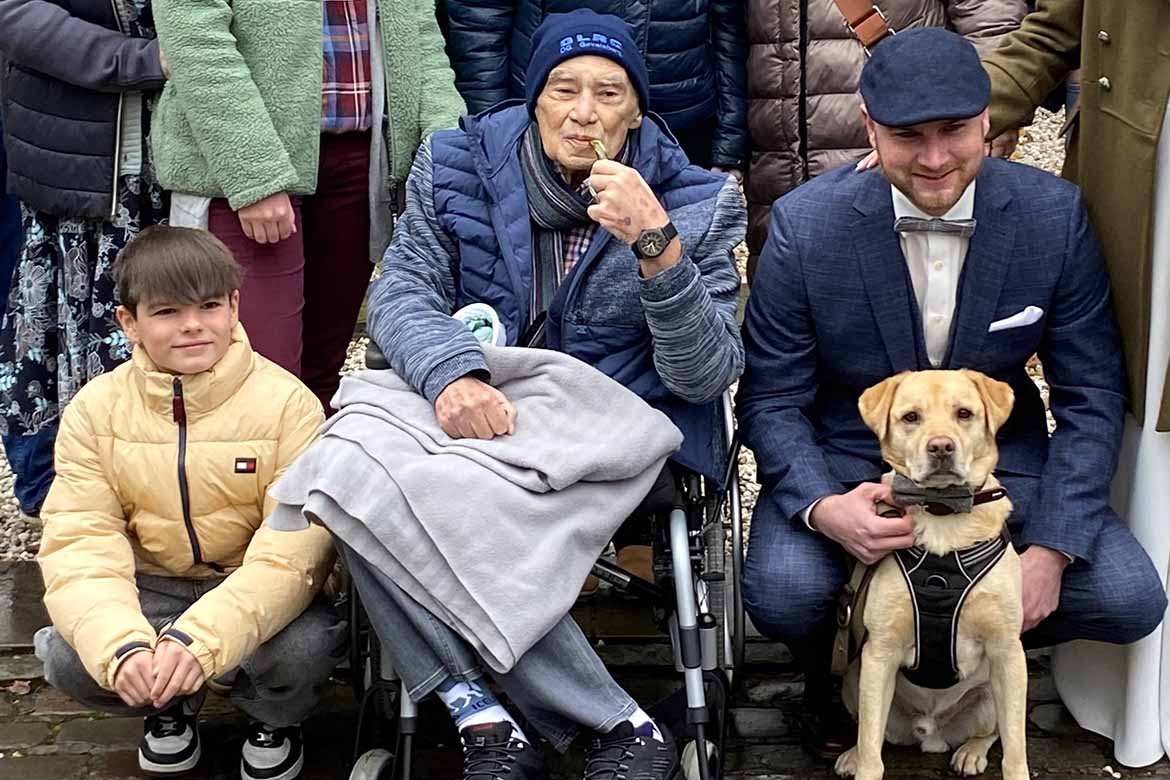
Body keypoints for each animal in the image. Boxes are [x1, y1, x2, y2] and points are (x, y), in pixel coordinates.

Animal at [837, 369, 1029, 780]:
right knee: (869, 734)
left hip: (994, 693)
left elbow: (1015, 749)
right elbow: (872, 750)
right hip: (854, 678)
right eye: (911, 417)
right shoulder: (880, 654)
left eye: (964, 414)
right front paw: (862, 762)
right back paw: (851, 755)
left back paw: (971, 752)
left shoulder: (1007, 651)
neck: (943, 515)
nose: (941, 447)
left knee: (992, 733)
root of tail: (932, 732)